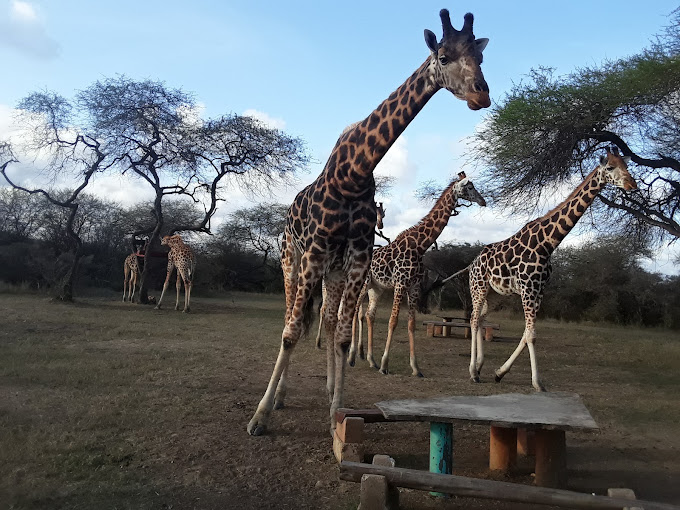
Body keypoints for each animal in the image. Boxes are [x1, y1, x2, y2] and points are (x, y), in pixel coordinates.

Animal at [314, 201, 386, 348]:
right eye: (376, 212)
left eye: (384, 214)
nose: (380, 225)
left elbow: (358, 315)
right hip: (326, 291)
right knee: (323, 309)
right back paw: (318, 342)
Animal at [348, 173, 486, 376]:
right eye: (469, 187)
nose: (483, 201)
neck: (420, 246)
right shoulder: (400, 284)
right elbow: (393, 321)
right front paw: (385, 365)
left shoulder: (413, 286)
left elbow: (411, 323)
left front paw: (415, 368)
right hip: (364, 284)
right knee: (355, 311)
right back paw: (351, 357)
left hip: (376, 288)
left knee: (369, 315)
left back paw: (371, 360)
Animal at [468, 147, 636, 390]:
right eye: (611, 167)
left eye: (626, 164)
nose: (632, 184)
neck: (548, 243)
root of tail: (472, 264)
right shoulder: (528, 289)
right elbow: (531, 335)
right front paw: (538, 383)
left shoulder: (539, 290)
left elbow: (527, 333)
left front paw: (499, 373)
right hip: (478, 287)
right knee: (473, 319)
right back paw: (472, 371)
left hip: (496, 293)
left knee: (481, 319)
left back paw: (480, 367)